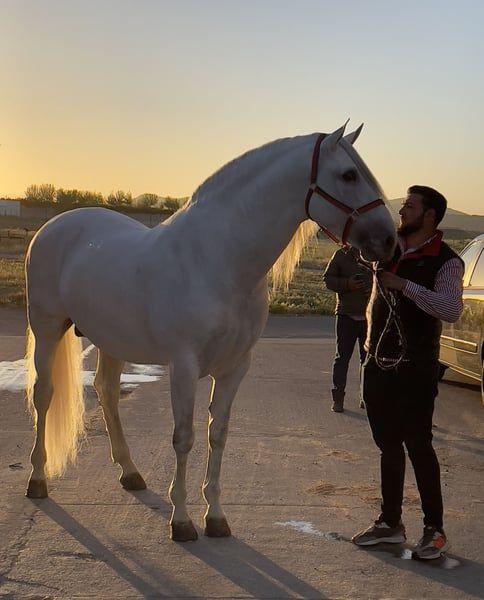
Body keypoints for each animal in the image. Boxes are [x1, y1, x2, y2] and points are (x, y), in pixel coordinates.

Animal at [24, 122, 396, 541]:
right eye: (349, 175)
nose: (389, 239)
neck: (218, 260)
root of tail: (53, 226)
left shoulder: (235, 368)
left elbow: (217, 434)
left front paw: (215, 517)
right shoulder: (184, 367)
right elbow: (184, 437)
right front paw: (181, 521)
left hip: (111, 340)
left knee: (107, 393)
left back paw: (130, 473)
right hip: (47, 329)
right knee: (44, 394)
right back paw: (38, 479)